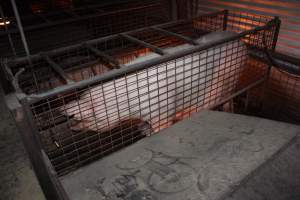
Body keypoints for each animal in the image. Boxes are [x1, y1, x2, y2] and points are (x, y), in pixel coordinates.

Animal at [59, 30, 247, 134]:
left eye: (91, 115)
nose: (69, 125)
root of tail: (241, 43)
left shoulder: (162, 110)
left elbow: (162, 125)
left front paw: (149, 133)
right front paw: (142, 130)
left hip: (229, 78)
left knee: (225, 98)